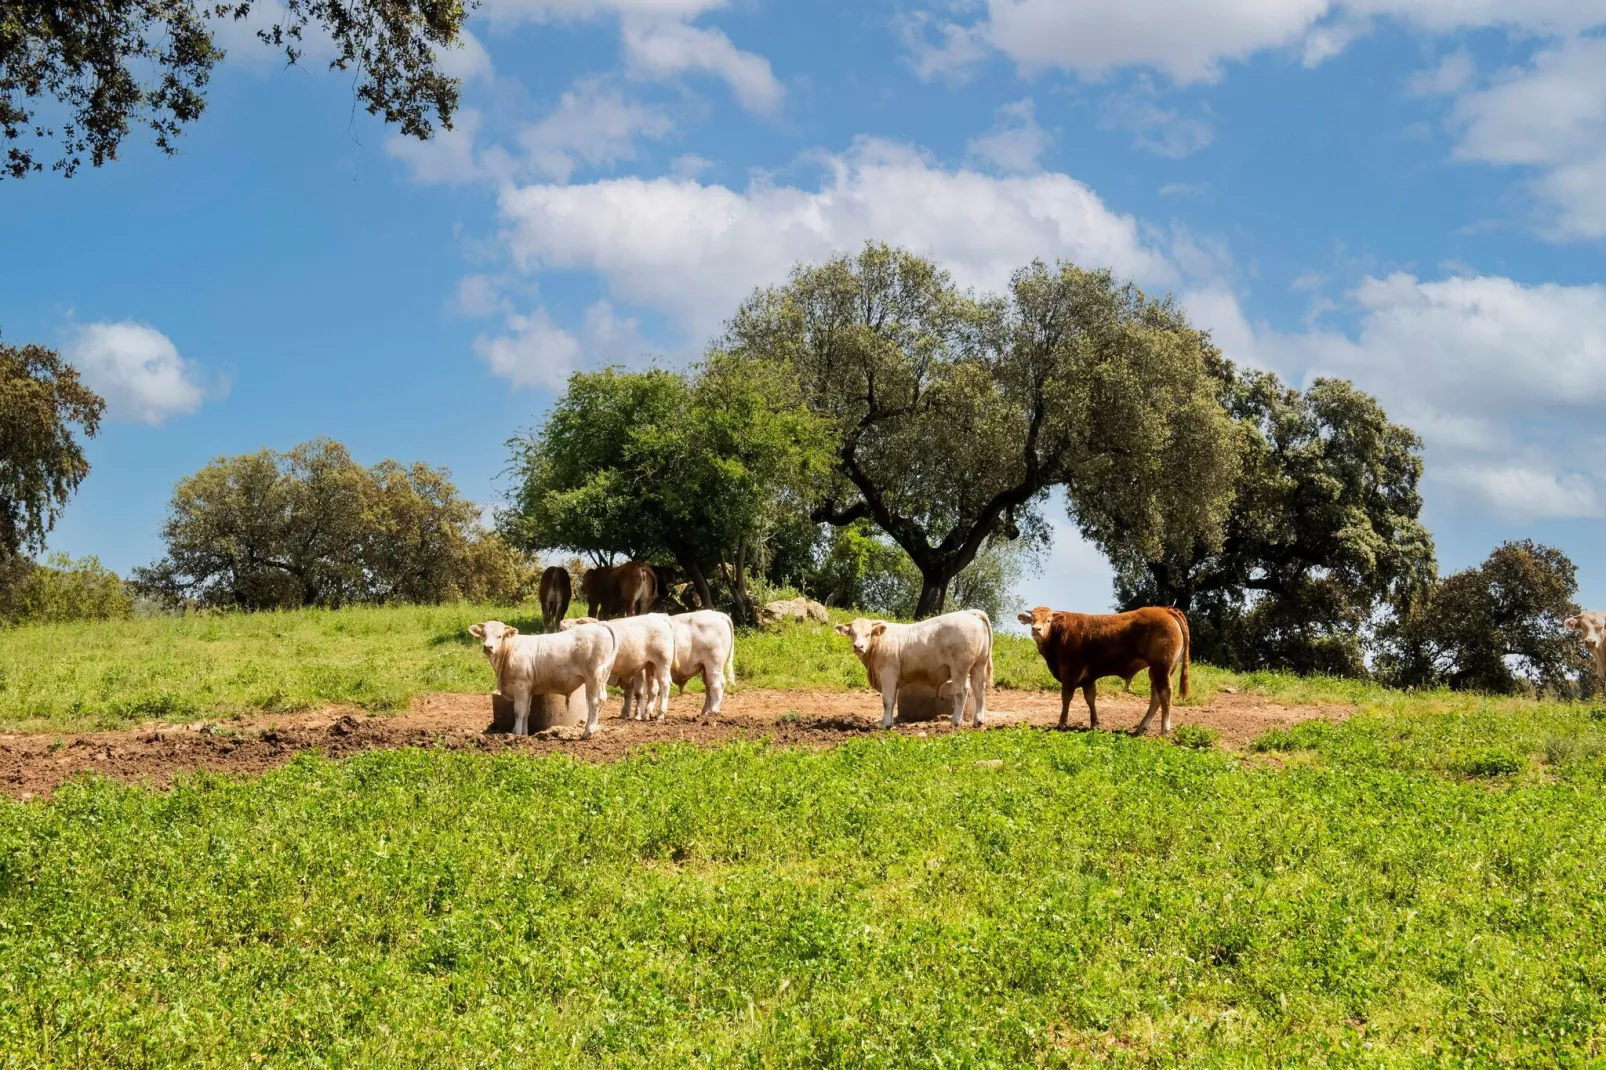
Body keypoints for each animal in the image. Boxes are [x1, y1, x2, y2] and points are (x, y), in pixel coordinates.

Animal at [468, 620, 616, 739]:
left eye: (499, 636)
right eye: (483, 635)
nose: (488, 647)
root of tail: (599, 625)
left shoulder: (520, 686)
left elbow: (518, 711)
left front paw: (516, 734)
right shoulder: (528, 689)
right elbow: (526, 712)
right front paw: (524, 734)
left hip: (593, 677)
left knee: (594, 702)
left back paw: (587, 732)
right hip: (603, 677)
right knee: (602, 699)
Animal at [835, 604, 995, 729]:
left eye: (868, 634)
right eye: (852, 633)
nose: (858, 646)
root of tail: (970, 613)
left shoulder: (888, 673)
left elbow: (887, 700)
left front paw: (884, 724)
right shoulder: (894, 678)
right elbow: (893, 701)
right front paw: (889, 723)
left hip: (959, 668)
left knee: (961, 691)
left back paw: (955, 722)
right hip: (978, 665)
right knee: (979, 690)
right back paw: (978, 721)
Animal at [1021, 604, 1188, 739]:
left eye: (1048, 620)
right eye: (1032, 619)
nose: (1036, 629)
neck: (1061, 634)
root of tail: (1165, 610)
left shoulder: (1070, 671)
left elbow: (1066, 697)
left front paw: (1062, 723)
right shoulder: (1088, 678)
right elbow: (1090, 698)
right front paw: (1095, 723)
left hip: (1161, 668)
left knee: (1165, 694)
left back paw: (1164, 730)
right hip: (1157, 671)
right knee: (1156, 696)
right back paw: (1141, 727)